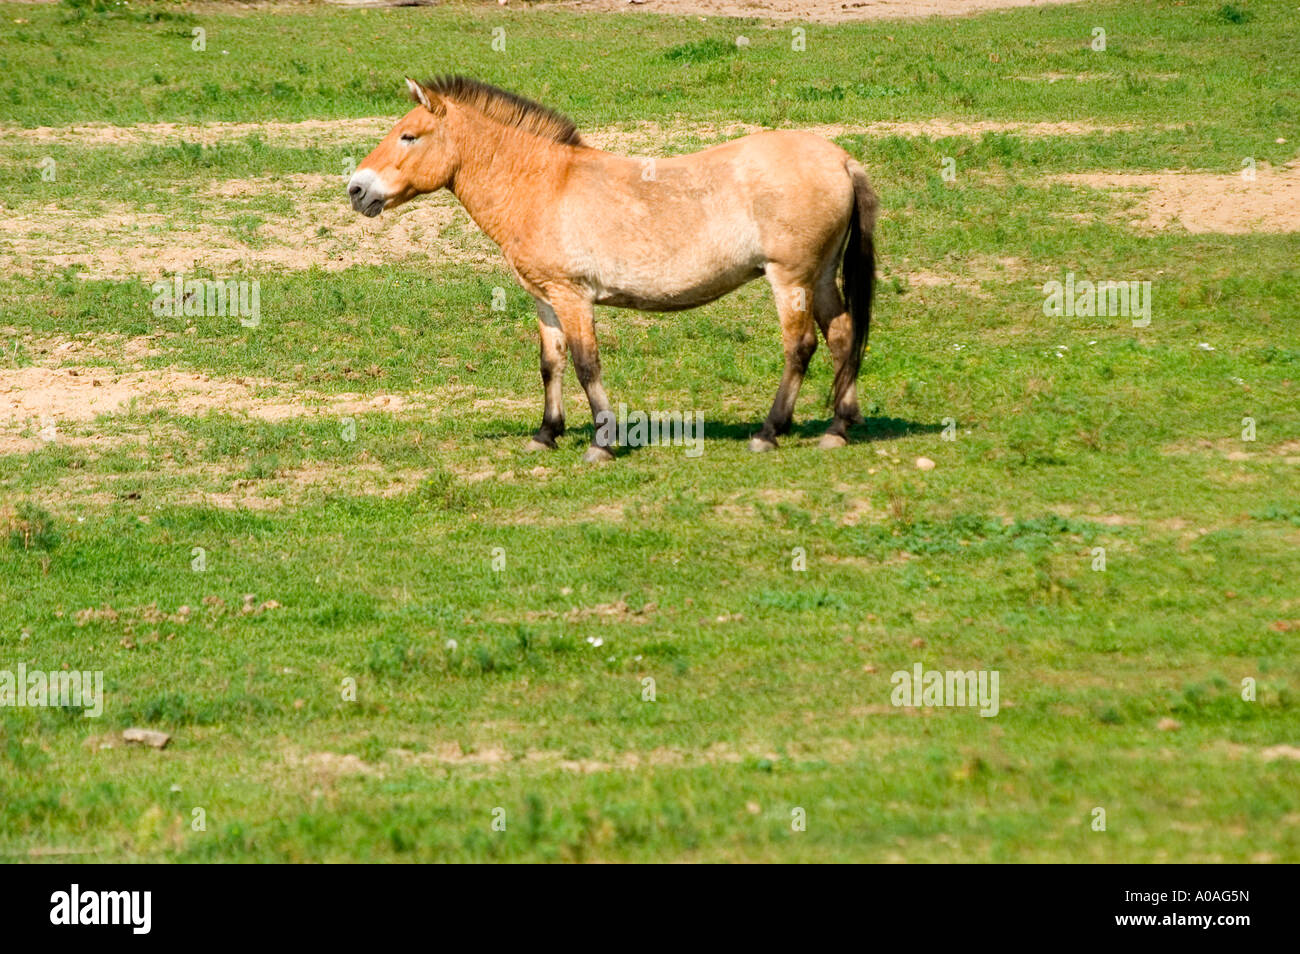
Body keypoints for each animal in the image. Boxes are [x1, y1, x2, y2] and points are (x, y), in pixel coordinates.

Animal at [345, 78, 878, 460]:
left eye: (409, 136)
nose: (356, 189)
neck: (542, 183)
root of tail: (841, 159)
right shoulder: (546, 298)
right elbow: (551, 364)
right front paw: (546, 434)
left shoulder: (573, 296)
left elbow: (586, 364)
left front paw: (602, 443)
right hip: (820, 276)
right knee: (842, 336)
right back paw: (838, 426)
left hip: (790, 278)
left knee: (800, 346)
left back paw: (769, 432)